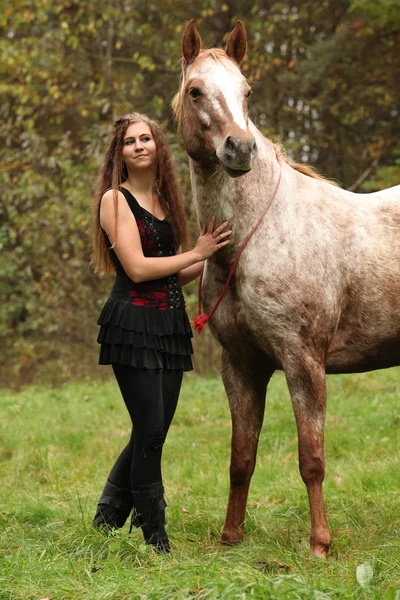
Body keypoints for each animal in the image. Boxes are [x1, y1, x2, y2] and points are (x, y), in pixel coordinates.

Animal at [173, 21, 400, 556]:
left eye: (246, 91)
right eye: (196, 91)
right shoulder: (242, 367)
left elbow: (310, 458)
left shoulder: (303, 362)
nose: (239, 148)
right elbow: (241, 458)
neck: (258, 233)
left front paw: (319, 544)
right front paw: (231, 536)